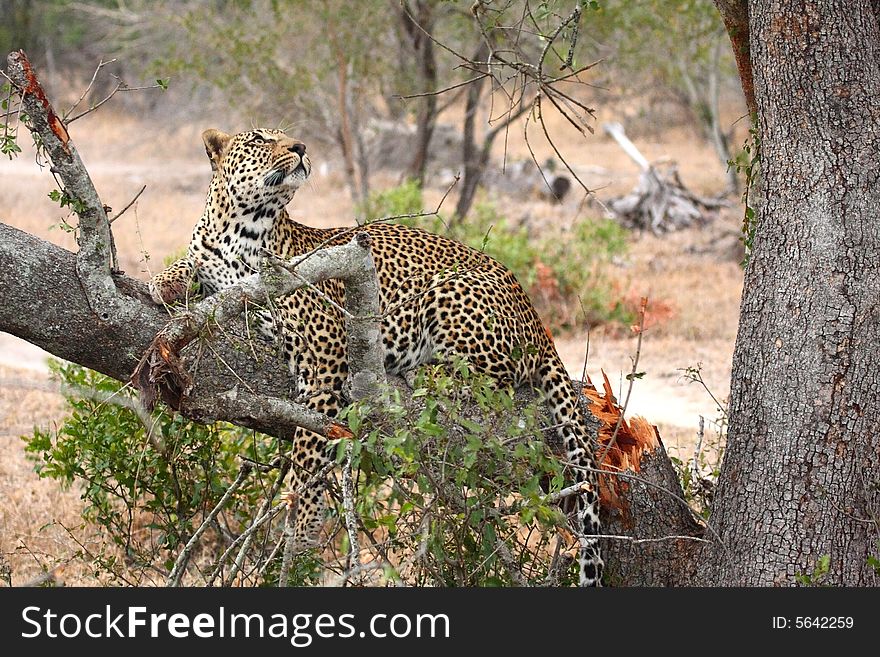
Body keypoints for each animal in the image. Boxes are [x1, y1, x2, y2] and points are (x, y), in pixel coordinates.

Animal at [151, 127, 604, 584]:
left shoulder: (326, 358)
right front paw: (162, 281)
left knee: (497, 376)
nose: (300, 148)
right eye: (262, 138)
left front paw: (302, 526)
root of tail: (534, 313)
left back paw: (429, 374)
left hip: (451, 289)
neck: (243, 231)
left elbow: (308, 453)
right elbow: (190, 265)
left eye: (287, 137)